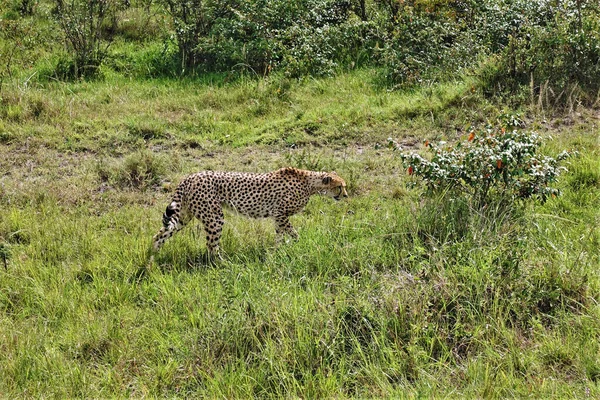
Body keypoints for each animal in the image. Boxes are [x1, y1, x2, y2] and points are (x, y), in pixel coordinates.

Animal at [152, 166, 350, 256]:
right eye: (340, 187)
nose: (346, 195)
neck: (310, 184)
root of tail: (191, 176)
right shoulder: (281, 214)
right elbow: (293, 233)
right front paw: (297, 243)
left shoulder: (278, 217)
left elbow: (279, 235)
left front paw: (277, 251)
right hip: (214, 217)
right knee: (211, 246)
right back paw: (223, 264)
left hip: (184, 215)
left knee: (160, 234)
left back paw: (152, 259)